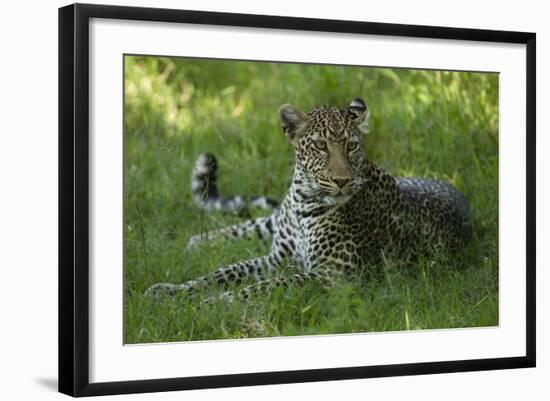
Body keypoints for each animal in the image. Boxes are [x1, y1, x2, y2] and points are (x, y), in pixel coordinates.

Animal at [148, 98, 474, 302]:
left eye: (352, 146)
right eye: (320, 145)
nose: (342, 180)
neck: (303, 200)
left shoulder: (330, 276)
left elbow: (263, 287)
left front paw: (213, 303)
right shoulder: (276, 258)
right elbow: (225, 271)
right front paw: (173, 290)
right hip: (272, 224)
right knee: (251, 225)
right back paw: (199, 242)